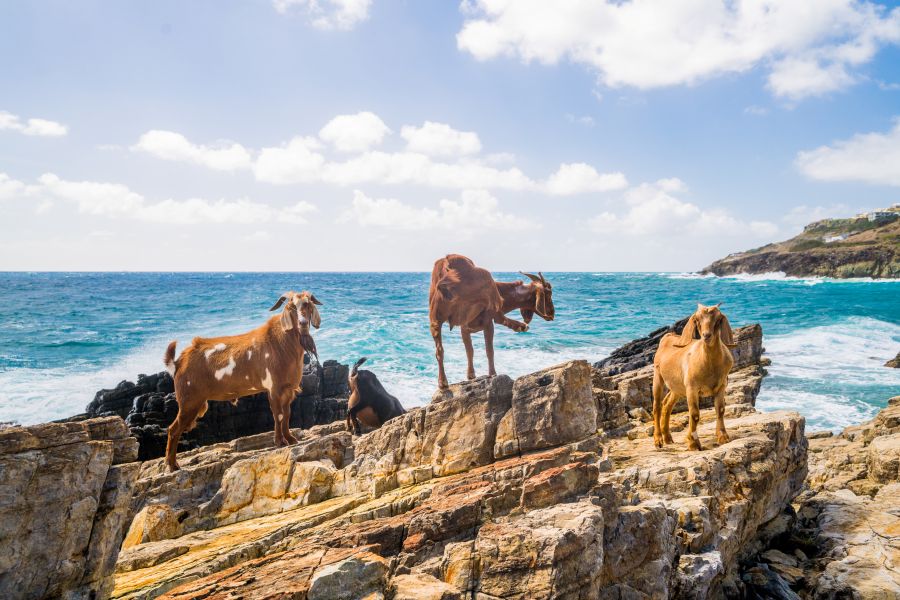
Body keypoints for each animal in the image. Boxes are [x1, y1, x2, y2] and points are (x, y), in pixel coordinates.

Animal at [162, 290, 322, 471]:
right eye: (292, 306)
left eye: (307, 304)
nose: (303, 323)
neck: (282, 343)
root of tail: (178, 362)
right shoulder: (273, 387)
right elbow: (278, 415)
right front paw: (280, 442)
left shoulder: (288, 389)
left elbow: (287, 414)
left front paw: (291, 439)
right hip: (189, 401)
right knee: (173, 429)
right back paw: (172, 465)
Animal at [429, 254, 555, 389]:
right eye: (548, 294)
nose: (552, 314)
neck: (500, 290)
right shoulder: (488, 319)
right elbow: (489, 349)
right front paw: (492, 373)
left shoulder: (465, 327)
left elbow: (469, 350)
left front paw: (471, 375)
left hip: (435, 320)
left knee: (439, 350)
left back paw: (442, 382)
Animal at [652, 303, 735, 451]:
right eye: (697, 319)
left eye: (718, 319)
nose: (706, 335)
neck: (709, 364)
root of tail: (667, 337)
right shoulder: (692, 388)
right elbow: (694, 414)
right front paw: (693, 443)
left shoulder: (721, 386)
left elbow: (720, 410)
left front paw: (723, 437)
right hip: (658, 377)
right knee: (657, 406)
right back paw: (658, 440)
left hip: (677, 387)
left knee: (667, 404)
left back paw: (668, 438)